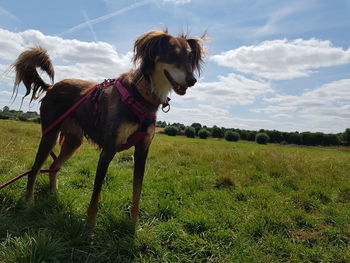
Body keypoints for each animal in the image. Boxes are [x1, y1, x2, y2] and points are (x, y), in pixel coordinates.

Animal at [12, 29, 206, 229]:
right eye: (172, 54)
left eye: (189, 56)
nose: (192, 80)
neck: (141, 96)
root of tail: (52, 86)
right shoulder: (108, 150)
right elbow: (95, 196)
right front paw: (89, 228)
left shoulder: (142, 152)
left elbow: (137, 192)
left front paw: (133, 225)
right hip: (49, 134)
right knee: (34, 171)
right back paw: (29, 202)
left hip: (74, 141)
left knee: (53, 166)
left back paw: (53, 194)